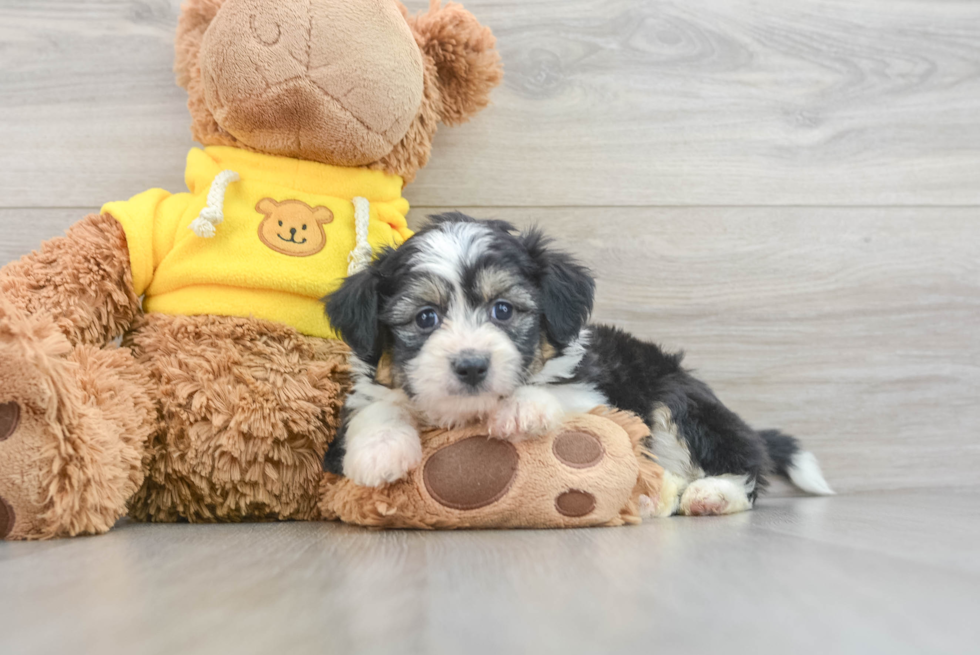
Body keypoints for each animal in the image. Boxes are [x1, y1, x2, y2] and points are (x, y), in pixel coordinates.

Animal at [326, 213, 832, 516]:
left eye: (503, 310)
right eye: (425, 318)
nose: (471, 366)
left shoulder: (594, 389)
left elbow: (562, 395)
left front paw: (522, 409)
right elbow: (378, 406)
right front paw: (380, 452)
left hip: (677, 400)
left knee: (741, 464)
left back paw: (710, 494)